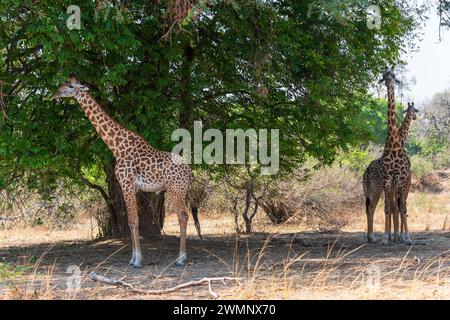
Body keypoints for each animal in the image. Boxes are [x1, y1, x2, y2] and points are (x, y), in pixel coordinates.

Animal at [50, 75, 202, 268]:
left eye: (70, 86)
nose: (56, 94)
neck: (117, 147)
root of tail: (189, 171)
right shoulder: (129, 187)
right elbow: (131, 222)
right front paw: (132, 259)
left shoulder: (127, 184)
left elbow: (133, 221)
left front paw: (137, 260)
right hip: (180, 190)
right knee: (185, 216)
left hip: (176, 189)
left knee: (182, 216)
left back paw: (181, 259)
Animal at [362, 102, 418, 242]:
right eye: (415, 110)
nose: (415, 117)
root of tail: (366, 173)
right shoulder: (404, 183)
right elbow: (398, 207)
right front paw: (399, 236)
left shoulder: (393, 187)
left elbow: (393, 207)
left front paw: (394, 235)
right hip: (376, 190)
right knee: (372, 208)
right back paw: (372, 237)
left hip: (368, 191)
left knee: (369, 208)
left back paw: (371, 237)